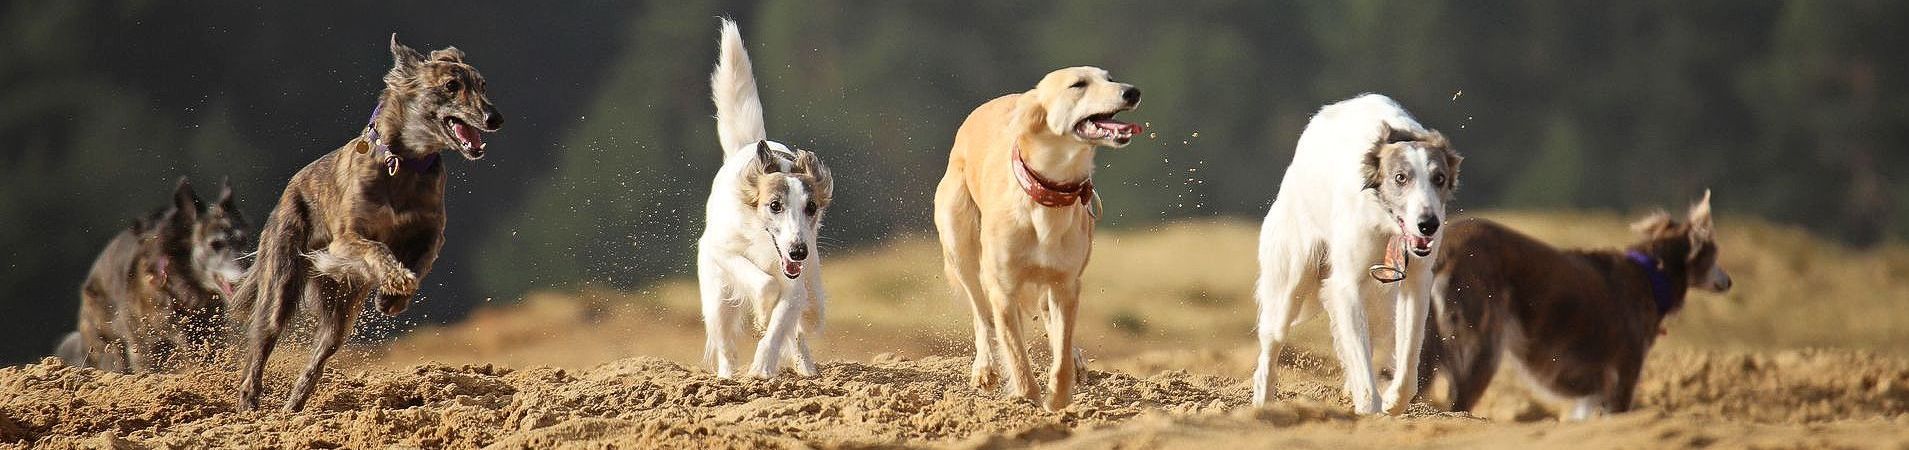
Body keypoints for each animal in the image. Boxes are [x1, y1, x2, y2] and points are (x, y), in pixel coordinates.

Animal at [234, 35, 501, 411]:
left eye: (483, 85)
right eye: (451, 85)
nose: (496, 118)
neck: (404, 163)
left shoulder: (431, 233)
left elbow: (420, 263)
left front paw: (393, 297)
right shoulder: (346, 239)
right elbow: (376, 248)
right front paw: (395, 279)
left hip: (341, 312)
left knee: (320, 355)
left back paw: (294, 405)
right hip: (281, 280)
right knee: (262, 341)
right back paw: (249, 404)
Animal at [697, 19, 835, 380]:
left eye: (811, 207)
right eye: (775, 205)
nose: (799, 251)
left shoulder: (795, 283)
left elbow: (778, 327)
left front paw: (762, 368)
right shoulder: (721, 250)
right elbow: (763, 285)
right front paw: (761, 312)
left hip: (812, 292)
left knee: (803, 327)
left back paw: (806, 368)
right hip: (716, 299)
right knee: (725, 347)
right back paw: (726, 378)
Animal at [934, 66, 1142, 411]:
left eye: (1110, 78)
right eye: (1078, 84)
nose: (1133, 92)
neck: (1047, 196)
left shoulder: (1067, 285)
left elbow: (1060, 352)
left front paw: (1057, 400)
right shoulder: (1003, 288)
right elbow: (1017, 356)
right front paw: (1027, 400)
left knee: (1049, 320)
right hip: (959, 246)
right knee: (981, 314)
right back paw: (984, 368)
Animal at [1250, 94, 1460, 415]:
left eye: (1439, 178)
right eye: (1400, 177)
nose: (1428, 224)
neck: (1386, 223)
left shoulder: (1415, 281)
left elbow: (1407, 366)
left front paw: (1391, 402)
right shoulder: (1346, 285)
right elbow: (1362, 366)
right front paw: (1369, 409)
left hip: (1380, 302)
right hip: (1291, 282)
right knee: (1271, 346)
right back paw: (1263, 404)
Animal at [1415, 193, 1731, 420]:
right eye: (1715, 252)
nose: (1728, 281)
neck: (1651, 275)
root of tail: (1447, 247)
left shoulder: (1591, 393)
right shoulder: (1623, 377)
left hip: (1427, 347)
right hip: (1481, 348)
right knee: (1457, 404)